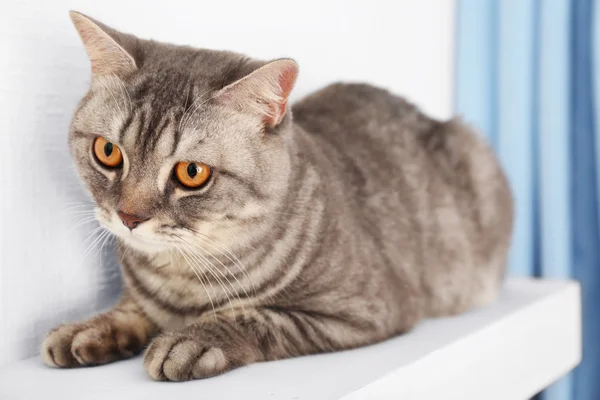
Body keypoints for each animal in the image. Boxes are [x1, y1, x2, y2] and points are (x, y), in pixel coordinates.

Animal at [41, 10, 510, 382]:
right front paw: (90, 328)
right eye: (107, 152)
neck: (182, 278)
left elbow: (257, 317)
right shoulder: (143, 296)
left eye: (192, 173)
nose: (129, 217)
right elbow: (133, 308)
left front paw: (191, 340)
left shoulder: (363, 309)